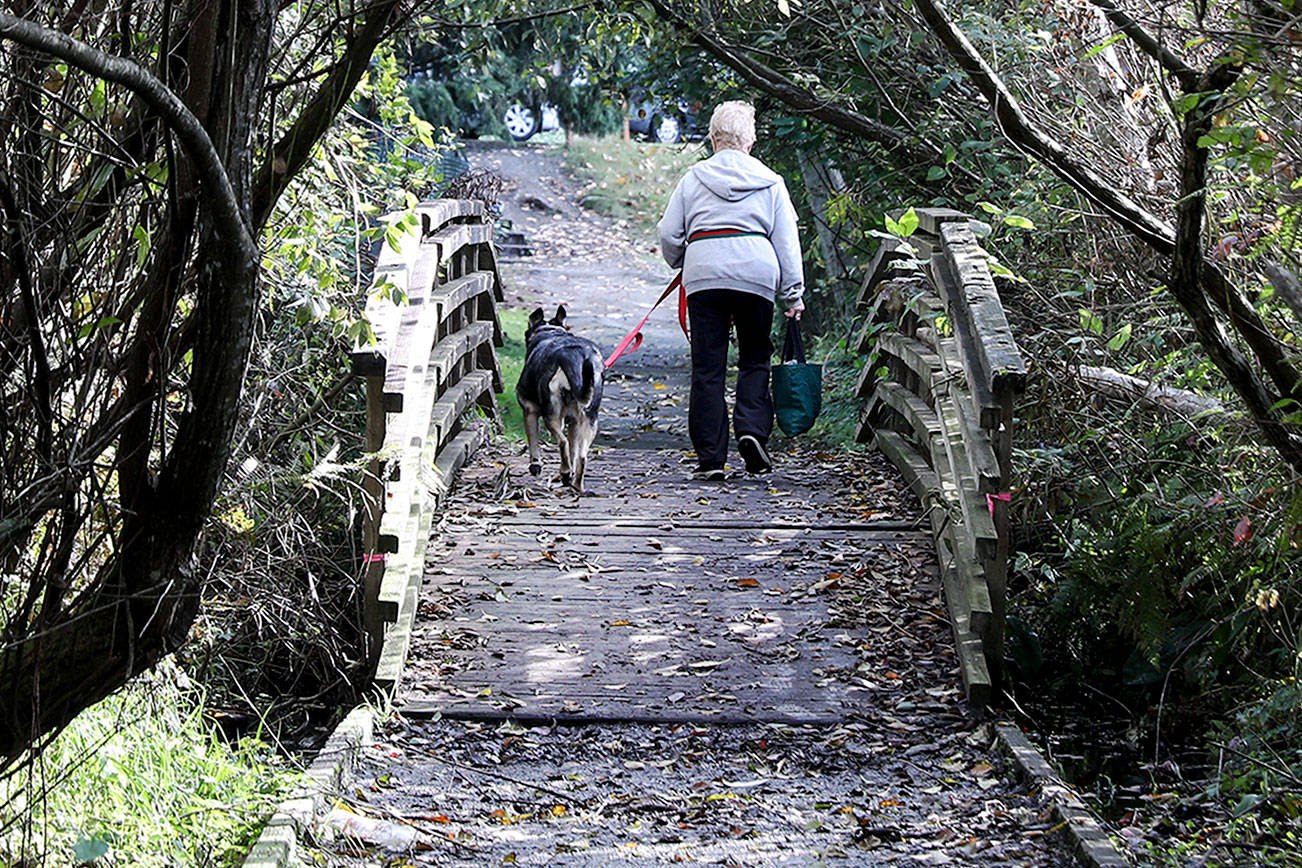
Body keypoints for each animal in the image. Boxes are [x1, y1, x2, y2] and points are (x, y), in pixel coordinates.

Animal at [512, 307, 604, 491]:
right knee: (581, 456)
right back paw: (576, 485)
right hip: (590, 420)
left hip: (552, 416)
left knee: (563, 443)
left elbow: (533, 441)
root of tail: (578, 357)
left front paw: (535, 465)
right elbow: (574, 450)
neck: (549, 331)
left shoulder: (529, 411)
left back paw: (565, 473)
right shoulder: (574, 422)